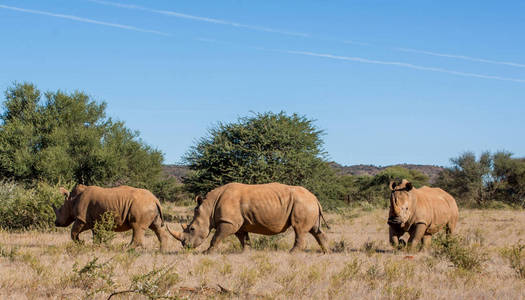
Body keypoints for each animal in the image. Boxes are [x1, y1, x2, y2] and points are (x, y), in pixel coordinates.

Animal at [166, 183, 330, 253]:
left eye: (192, 229)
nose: (185, 246)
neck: (209, 207)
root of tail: (315, 198)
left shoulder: (228, 222)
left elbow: (216, 238)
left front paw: (207, 253)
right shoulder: (237, 223)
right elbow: (243, 238)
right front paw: (247, 253)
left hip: (303, 204)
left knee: (299, 229)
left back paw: (292, 253)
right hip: (307, 204)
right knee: (315, 230)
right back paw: (326, 252)